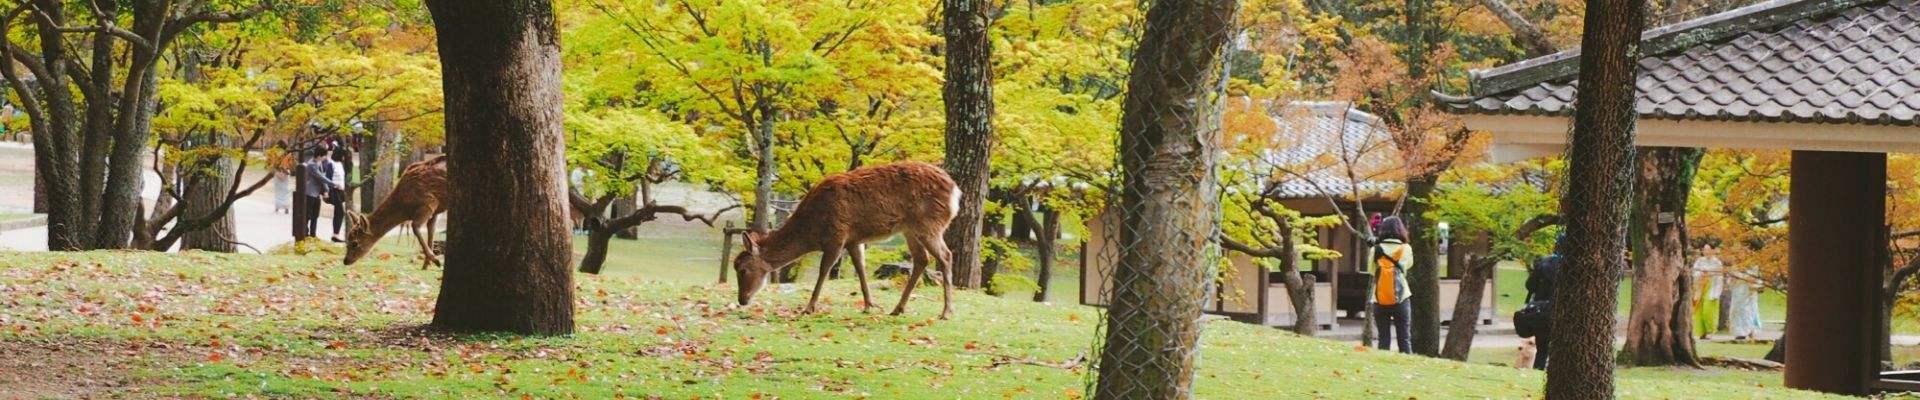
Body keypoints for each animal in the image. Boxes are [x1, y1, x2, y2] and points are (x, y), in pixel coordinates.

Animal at [741, 160, 967, 321]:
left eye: (743, 268)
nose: (742, 299)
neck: (813, 230)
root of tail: (956, 191)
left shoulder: (837, 236)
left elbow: (824, 270)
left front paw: (808, 308)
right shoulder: (854, 240)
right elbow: (860, 268)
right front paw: (869, 305)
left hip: (929, 224)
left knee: (945, 255)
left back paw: (946, 312)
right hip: (910, 229)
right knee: (922, 259)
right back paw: (897, 308)